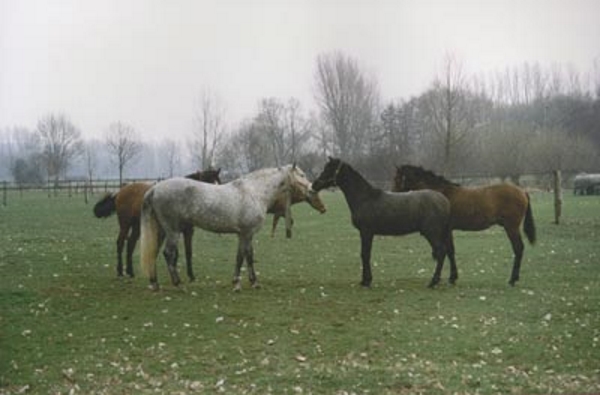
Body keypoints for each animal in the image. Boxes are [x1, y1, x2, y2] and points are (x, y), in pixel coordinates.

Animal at [94, 169, 223, 280]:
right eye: (208, 184)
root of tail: (120, 192)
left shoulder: (188, 231)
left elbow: (188, 252)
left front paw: (190, 275)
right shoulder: (172, 231)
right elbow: (174, 253)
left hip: (137, 226)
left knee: (130, 243)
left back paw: (130, 272)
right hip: (125, 224)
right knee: (120, 243)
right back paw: (120, 271)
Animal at [140, 164, 314, 290]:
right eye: (302, 175)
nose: (312, 189)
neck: (254, 192)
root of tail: (155, 189)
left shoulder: (244, 234)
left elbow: (244, 256)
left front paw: (247, 282)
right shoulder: (247, 233)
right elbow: (244, 256)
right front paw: (242, 283)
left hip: (162, 231)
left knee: (154, 253)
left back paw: (154, 283)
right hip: (173, 231)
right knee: (168, 253)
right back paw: (177, 283)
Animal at [310, 157, 454, 288]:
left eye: (329, 169)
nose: (314, 185)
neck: (365, 198)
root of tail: (444, 200)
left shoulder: (366, 232)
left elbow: (365, 254)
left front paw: (366, 281)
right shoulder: (367, 233)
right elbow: (365, 254)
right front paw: (365, 280)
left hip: (432, 233)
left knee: (441, 252)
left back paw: (433, 281)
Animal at [394, 166, 536, 286]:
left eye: (397, 179)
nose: (393, 194)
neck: (442, 193)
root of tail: (522, 191)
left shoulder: (446, 230)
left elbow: (449, 251)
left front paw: (451, 278)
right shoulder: (448, 230)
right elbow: (451, 251)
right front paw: (453, 277)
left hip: (511, 228)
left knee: (518, 248)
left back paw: (512, 279)